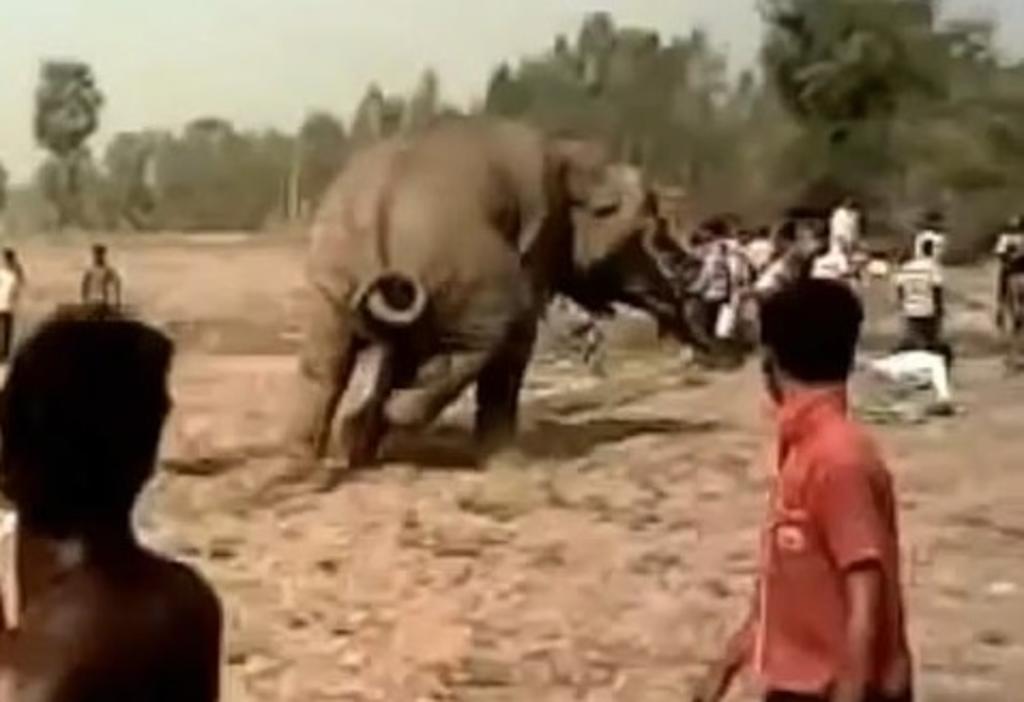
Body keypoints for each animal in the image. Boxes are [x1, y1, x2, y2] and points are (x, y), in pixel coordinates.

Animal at [285, 117, 705, 472]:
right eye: (654, 228)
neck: (567, 151)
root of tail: (379, 211)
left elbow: (399, 356)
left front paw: (361, 443)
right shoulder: (537, 238)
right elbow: (515, 343)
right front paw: (505, 457)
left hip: (335, 278)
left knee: (326, 365)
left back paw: (313, 458)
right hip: (463, 268)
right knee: (500, 331)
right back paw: (398, 416)